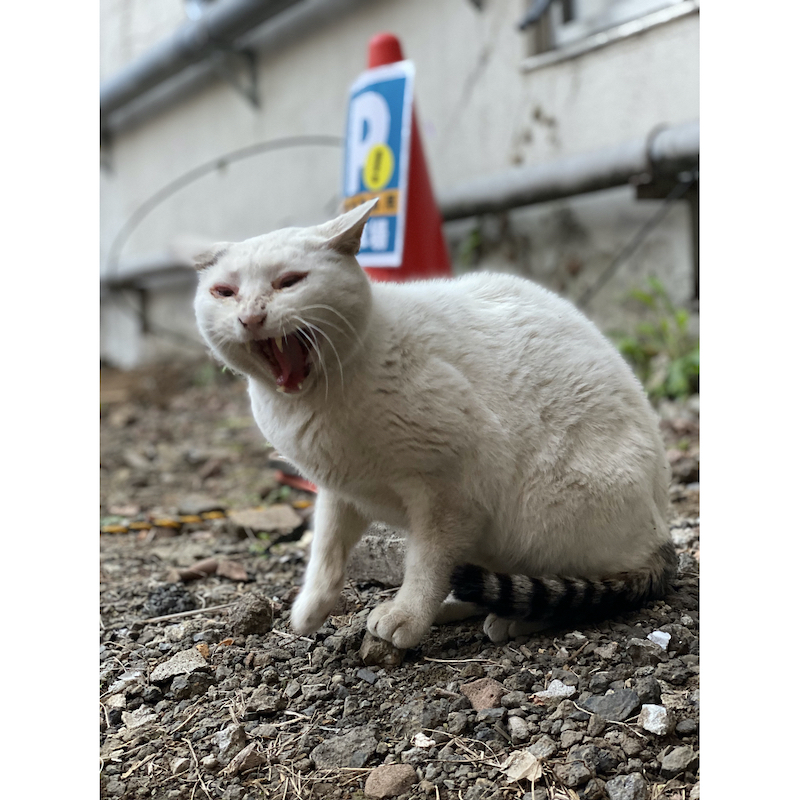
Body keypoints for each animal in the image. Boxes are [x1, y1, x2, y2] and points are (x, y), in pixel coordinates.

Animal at [195, 202, 676, 648]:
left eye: (289, 281)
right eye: (225, 292)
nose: (251, 317)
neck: (314, 403)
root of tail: (663, 535)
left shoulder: (451, 493)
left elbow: (426, 563)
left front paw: (407, 616)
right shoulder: (339, 489)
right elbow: (326, 551)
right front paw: (310, 610)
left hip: (544, 513)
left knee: (575, 587)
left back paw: (514, 618)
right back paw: (463, 606)